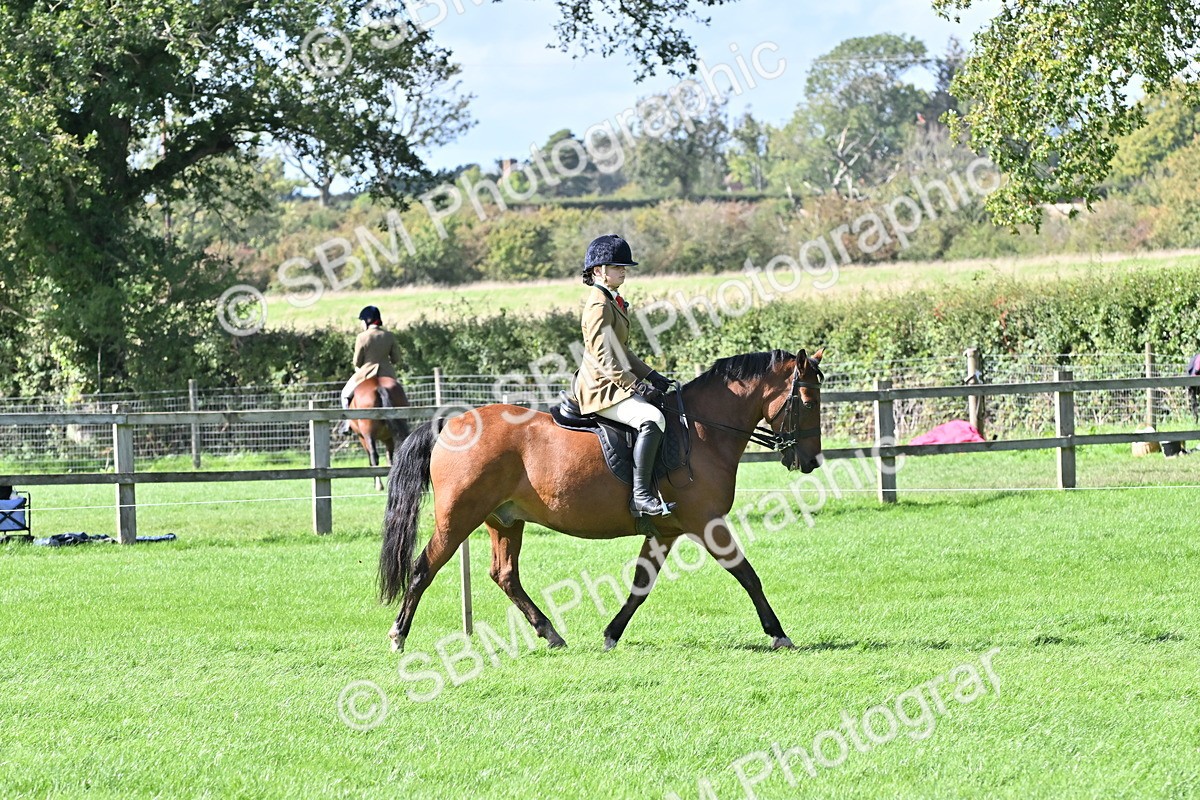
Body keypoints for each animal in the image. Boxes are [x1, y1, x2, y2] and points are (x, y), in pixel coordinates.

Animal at [379, 347, 825, 652]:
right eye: (807, 401)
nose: (810, 461)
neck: (700, 431)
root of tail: (451, 422)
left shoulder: (666, 531)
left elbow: (641, 584)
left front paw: (611, 633)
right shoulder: (706, 522)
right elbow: (746, 573)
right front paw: (778, 633)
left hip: (504, 520)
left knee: (505, 575)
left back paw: (550, 633)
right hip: (458, 519)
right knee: (423, 568)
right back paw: (398, 635)